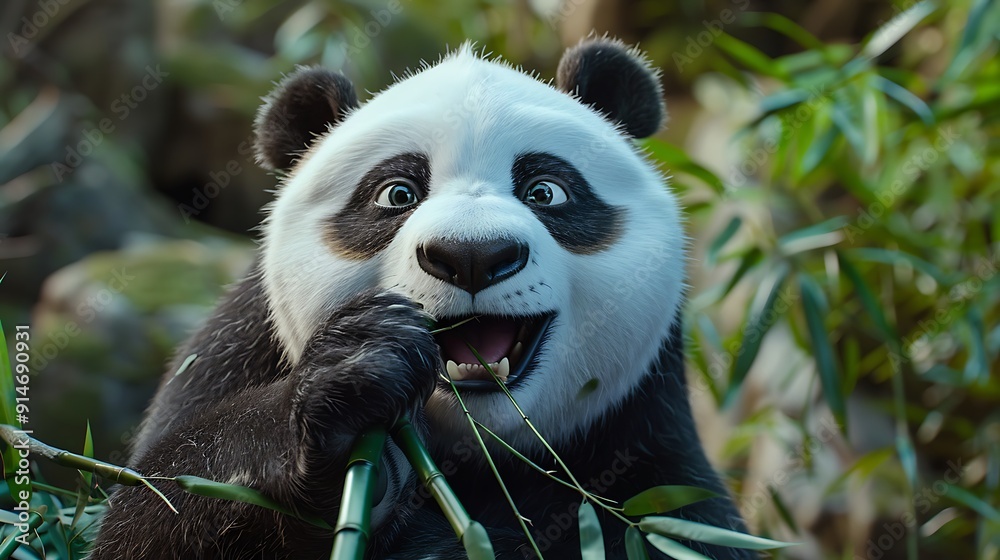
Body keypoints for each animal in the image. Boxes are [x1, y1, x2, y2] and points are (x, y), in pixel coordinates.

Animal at [91, 38, 754, 559]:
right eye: (397, 193)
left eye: (546, 191)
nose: (472, 255)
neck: (476, 450)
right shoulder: (234, 350)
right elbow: (153, 504)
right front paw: (357, 386)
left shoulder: (647, 451)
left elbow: (679, 528)